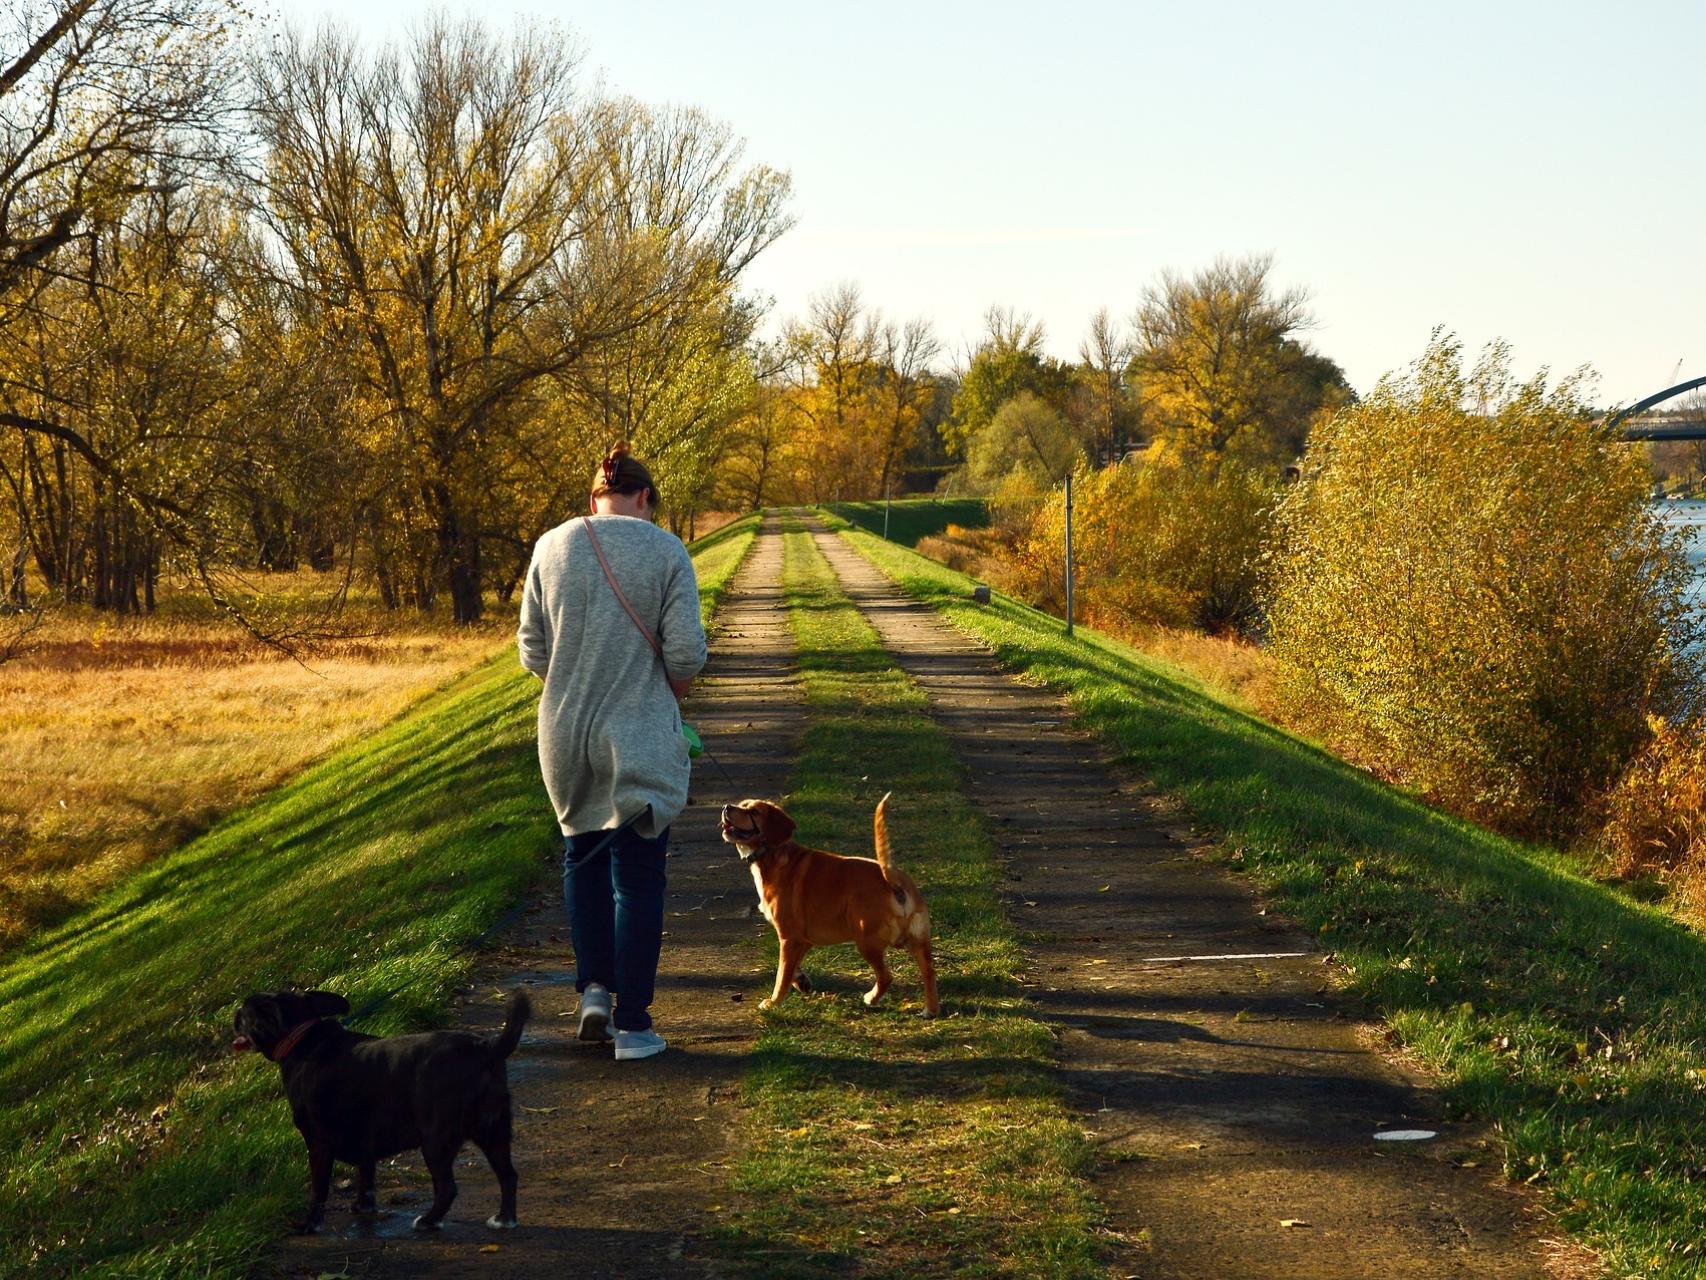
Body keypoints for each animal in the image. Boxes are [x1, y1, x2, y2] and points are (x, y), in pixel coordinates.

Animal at [230, 989, 528, 1235]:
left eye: (246, 1011)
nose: (235, 1011)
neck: (302, 1037)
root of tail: (485, 1049)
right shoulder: (364, 1138)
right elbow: (366, 1174)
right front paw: (363, 1206)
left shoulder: (318, 1143)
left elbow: (318, 1189)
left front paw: (309, 1224)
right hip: (494, 1132)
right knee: (508, 1175)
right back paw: (505, 1219)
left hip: (436, 1139)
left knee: (447, 1188)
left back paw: (429, 1221)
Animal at [716, 798, 941, 1017]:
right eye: (741, 805)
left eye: (754, 812)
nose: (726, 807)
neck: (773, 853)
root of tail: (892, 879)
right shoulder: (801, 940)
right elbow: (792, 969)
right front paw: (801, 982)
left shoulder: (789, 938)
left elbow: (782, 974)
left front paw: (773, 1002)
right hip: (917, 942)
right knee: (929, 972)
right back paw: (930, 1009)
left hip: (866, 941)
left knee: (886, 977)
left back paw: (871, 999)